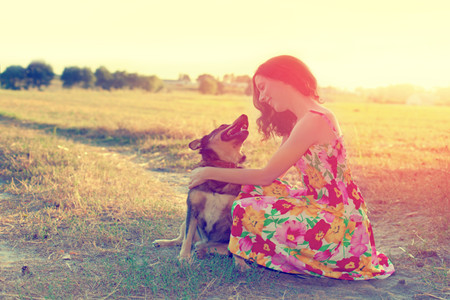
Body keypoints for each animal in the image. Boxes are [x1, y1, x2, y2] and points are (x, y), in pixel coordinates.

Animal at [153, 114, 248, 270]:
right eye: (222, 125)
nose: (245, 116)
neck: (221, 167)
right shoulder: (192, 209)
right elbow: (187, 238)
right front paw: (184, 257)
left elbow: (235, 246)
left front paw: (240, 263)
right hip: (184, 222)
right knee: (181, 240)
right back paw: (164, 242)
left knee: (216, 248)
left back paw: (202, 250)